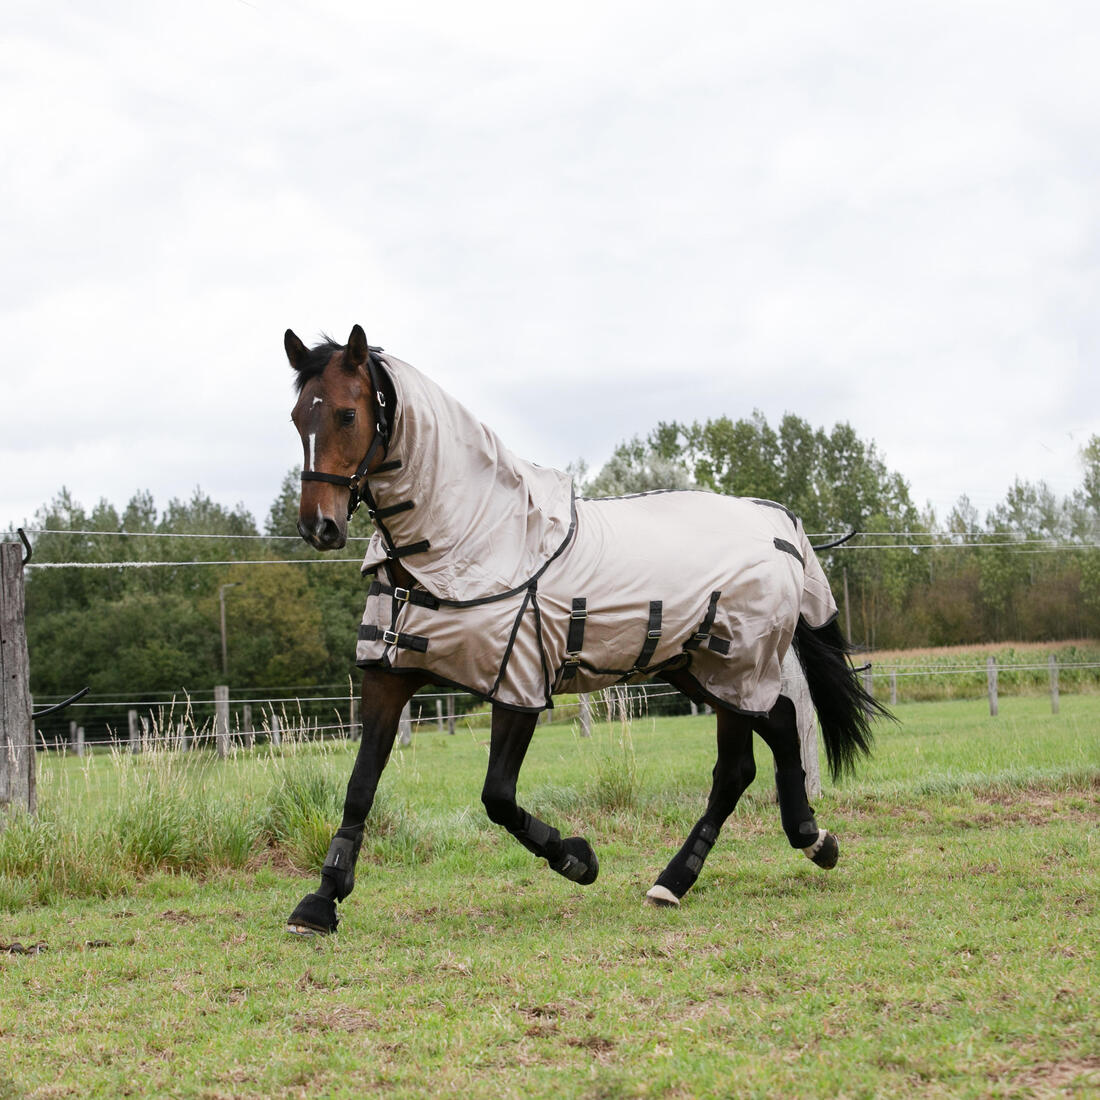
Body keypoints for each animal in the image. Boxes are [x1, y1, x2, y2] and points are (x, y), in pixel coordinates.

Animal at [283, 324, 888, 935]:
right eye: (296, 417)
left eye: (347, 414)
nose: (319, 527)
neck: (474, 540)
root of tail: (775, 524)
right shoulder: (390, 675)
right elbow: (360, 787)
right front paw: (321, 901)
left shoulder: (519, 683)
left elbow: (498, 796)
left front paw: (577, 859)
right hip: (700, 670)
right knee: (781, 724)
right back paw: (812, 839)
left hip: (734, 665)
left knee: (734, 770)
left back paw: (676, 879)